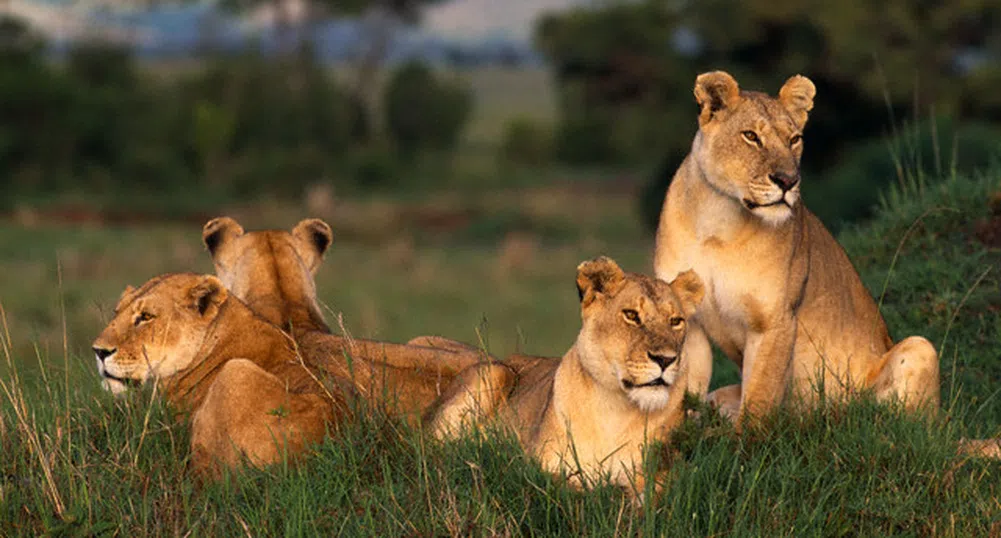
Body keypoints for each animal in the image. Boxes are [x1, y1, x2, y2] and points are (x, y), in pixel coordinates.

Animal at [424, 256, 704, 490]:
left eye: (676, 321)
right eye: (631, 315)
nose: (665, 359)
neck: (617, 410)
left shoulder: (667, 474)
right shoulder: (541, 470)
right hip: (493, 371)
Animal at [652, 71, 940, 426]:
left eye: (794, 139)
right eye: (751, 136)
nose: (788, 181)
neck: (718, 221)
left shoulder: (774, 320)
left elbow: (760, 396)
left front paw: (744, 439)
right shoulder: (688, 322)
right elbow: (682, 391)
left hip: (920, 348)